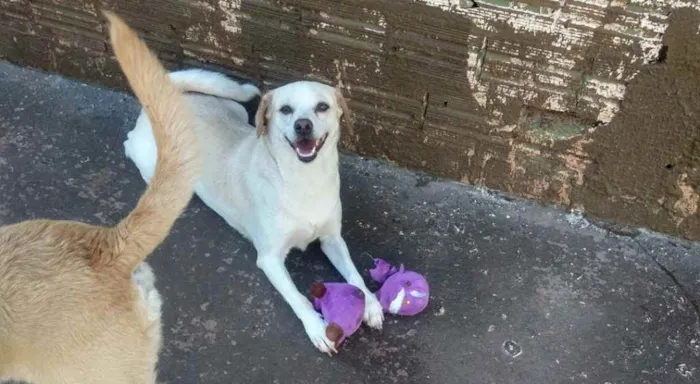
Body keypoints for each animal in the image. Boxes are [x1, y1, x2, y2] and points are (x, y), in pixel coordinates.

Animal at [121, 69, 382, 354]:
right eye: (285, 109)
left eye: (322, 107)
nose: (302, 125)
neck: (304, 179)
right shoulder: (270, 258)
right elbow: (297, 297)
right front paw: (317, 328)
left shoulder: (332, 239)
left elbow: (354, 274)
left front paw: (370, 303)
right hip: (153, 161)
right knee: (129, 144)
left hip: (237, 110)